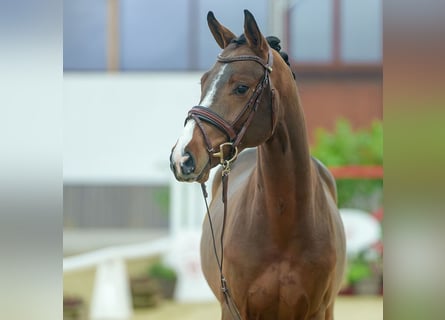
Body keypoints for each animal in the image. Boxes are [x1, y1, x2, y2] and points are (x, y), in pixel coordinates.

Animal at [168, 10, 346, 320]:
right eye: (203, 82)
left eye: (241, 87)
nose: (182, 157)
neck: (283, 223)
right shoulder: (233, 309)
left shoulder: (316, 310)